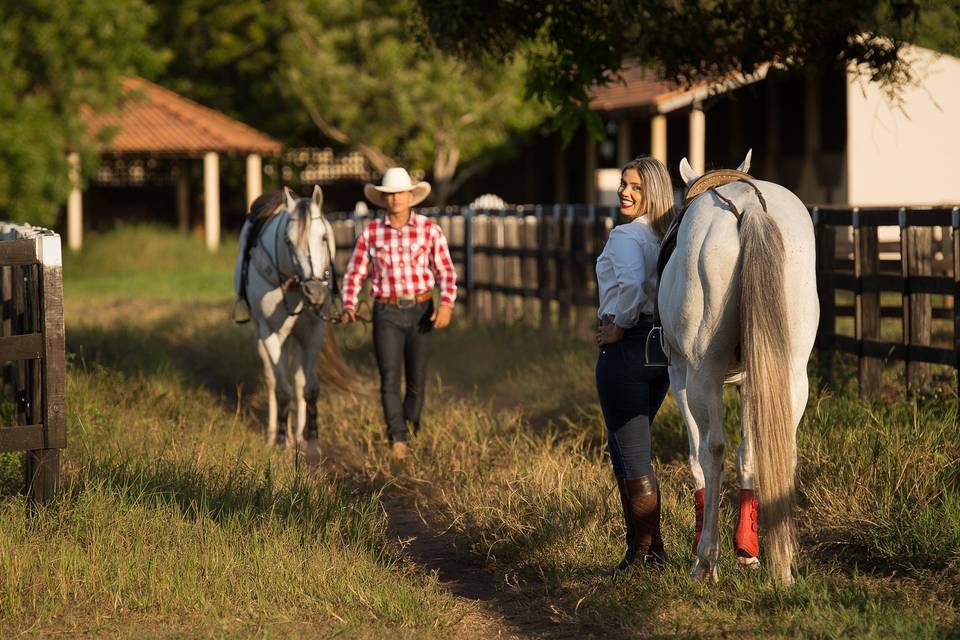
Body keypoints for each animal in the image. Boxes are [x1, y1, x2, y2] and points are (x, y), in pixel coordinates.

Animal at [232, 182, 338, 448]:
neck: (293, 284)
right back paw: (274, 433)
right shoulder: (270, 333)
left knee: (298, 382)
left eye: (324, 237)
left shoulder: (314, 332)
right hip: (262, 335)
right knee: (272, 379)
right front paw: (281, 439)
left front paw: (311, 438)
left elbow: (309, 387)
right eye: (288, 242)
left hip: (296, 338)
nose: (315, 291)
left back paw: (298, 434)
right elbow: (282, 388)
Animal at [660, 151, 816, 584]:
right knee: (778, 445)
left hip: (703, 374)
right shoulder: (751, 379)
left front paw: (705, 549)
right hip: (791, 373)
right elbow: (749, 452)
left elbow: (697, 454)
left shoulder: (680, 377)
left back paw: (706, 559)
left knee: (712, 449)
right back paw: (776, 562)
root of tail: (749, 209)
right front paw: (747, 551)